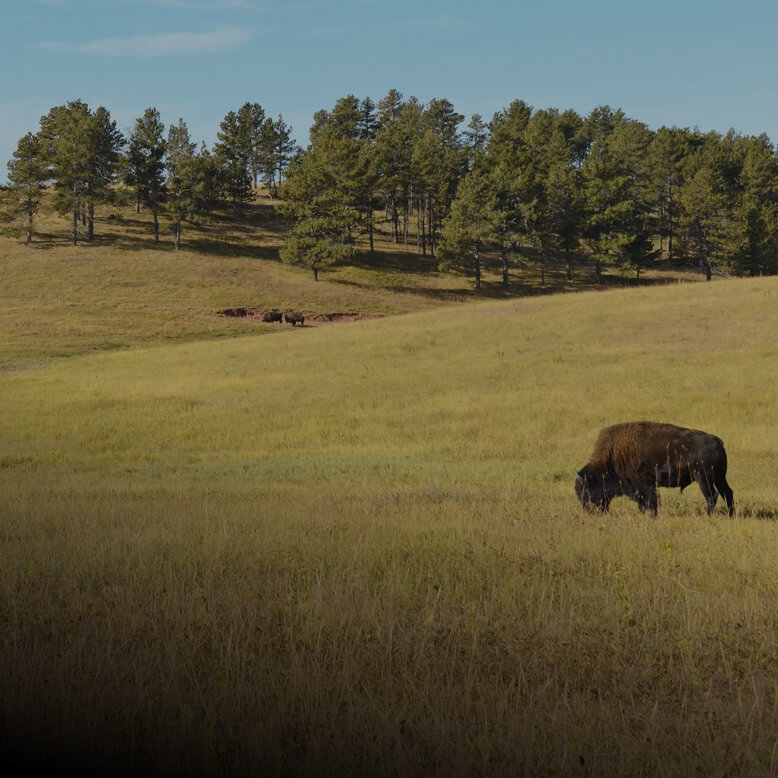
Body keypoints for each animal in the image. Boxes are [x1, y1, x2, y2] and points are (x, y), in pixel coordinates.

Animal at [572, 418, 732, 516]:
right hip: (719, 478)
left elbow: (650, 503)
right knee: (727, 493)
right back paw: (731, 515)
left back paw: (708, 516)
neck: (611, 458)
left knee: (712, 496)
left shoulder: (643, 487)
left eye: (586, 490)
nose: (589, 511)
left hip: (704, 479)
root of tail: (718, 441)